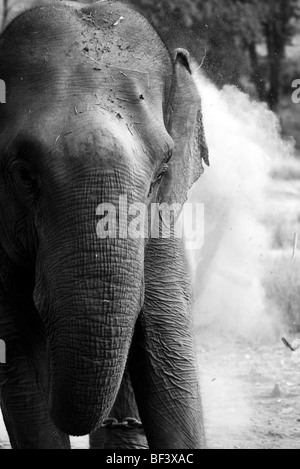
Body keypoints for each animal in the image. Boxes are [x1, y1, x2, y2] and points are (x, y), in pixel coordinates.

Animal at [0, 0, 209, 448]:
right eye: (24, 174)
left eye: (161, 171)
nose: (124, 424)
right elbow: (19, 366)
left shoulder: (160, 231)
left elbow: (170, 357)